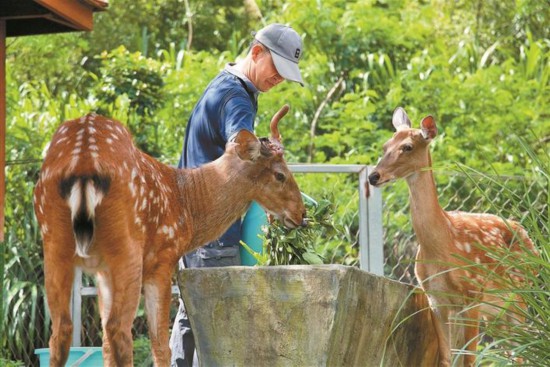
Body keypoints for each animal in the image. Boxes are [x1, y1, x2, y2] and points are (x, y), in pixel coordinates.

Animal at [34, 105, 308, 366]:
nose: (302, 213)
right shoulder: (163, 259)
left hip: (54, 241)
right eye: (280, 175)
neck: (185, 202)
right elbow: (160, 345)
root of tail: (83, 164)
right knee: (119, 329)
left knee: (62, 331)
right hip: (126, 247)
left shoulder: (103, 271)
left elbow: (105, 347)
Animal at [368, 108, 536, 366]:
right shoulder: (436, 299)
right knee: (512, 352)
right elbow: (447, 358)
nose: (373, 176)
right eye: (385, 145)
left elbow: (469, 359)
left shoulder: (473, 294)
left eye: (407, 147)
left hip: (520, 296)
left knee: (521, 352)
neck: (443, 243)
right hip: (496, 312)